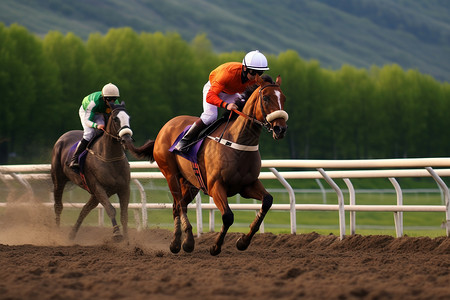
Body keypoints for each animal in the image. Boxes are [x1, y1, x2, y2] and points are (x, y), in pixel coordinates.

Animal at [50, 102, 134, 241]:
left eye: (129, 118)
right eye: (115, 119)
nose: (127, 139)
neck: (110, 157)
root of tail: (63, 137)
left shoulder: (124, 188)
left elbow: (124, 214)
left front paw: (128, 241)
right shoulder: (98, 186)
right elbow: (111, 209)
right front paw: (117, 234)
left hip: (95, 194)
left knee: (84, 210)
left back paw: (72, 234)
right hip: (59, 179)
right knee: (58, 206)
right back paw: (56, 232)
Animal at [129, 75, 288, 255]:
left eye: (283, 98)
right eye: (266, 98)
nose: (281, 129)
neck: (238, 142)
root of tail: (165, 127)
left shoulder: (247, 185)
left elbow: (267, 200)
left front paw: (243, 242)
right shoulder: (215, 186)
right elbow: (228, 216)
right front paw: (215, 246)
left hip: (190, 182)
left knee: (178, 205)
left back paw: (177, 243)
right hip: (171, 174)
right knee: (179, 205)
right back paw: (186, 242)